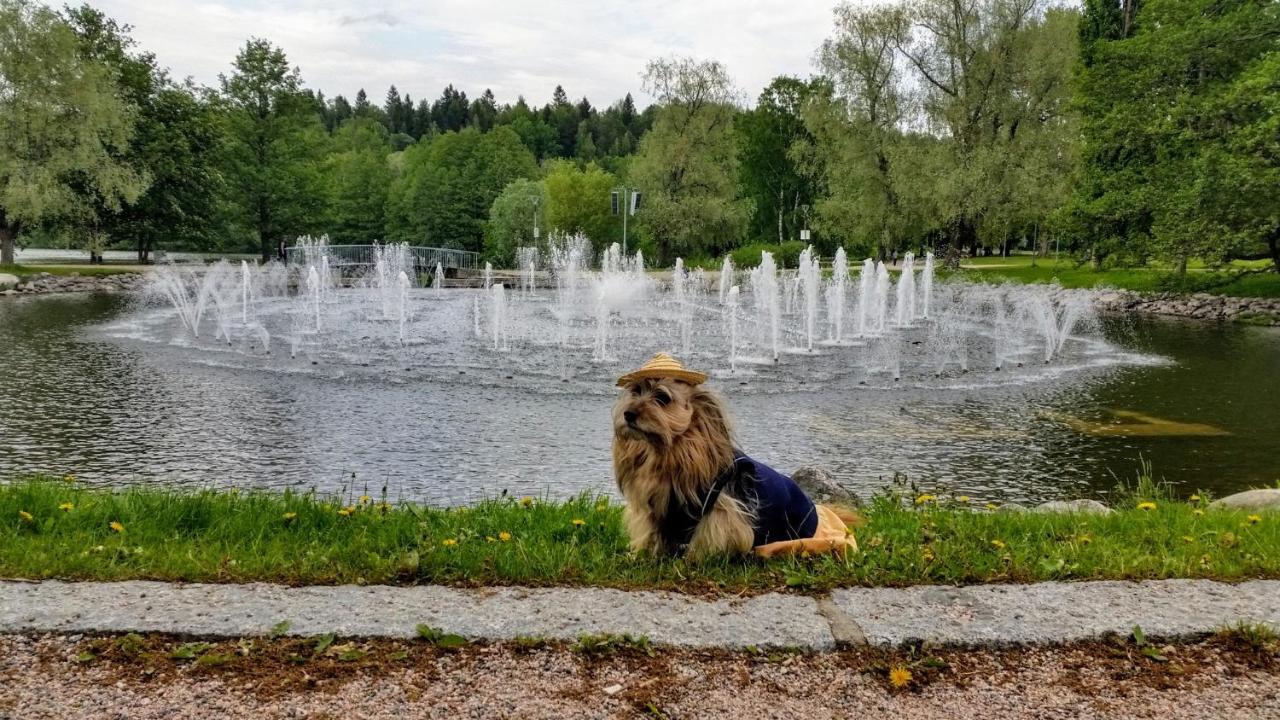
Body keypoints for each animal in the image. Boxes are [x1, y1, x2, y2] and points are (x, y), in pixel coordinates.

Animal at [606, 351, 855, 558]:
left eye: (662, 397)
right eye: (636, 392)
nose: (628, 414)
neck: (670, 450)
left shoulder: (721, 509)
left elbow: (711, 534)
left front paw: (694, 560)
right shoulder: (655, 510)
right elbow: (652, 533)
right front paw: (644, 556)